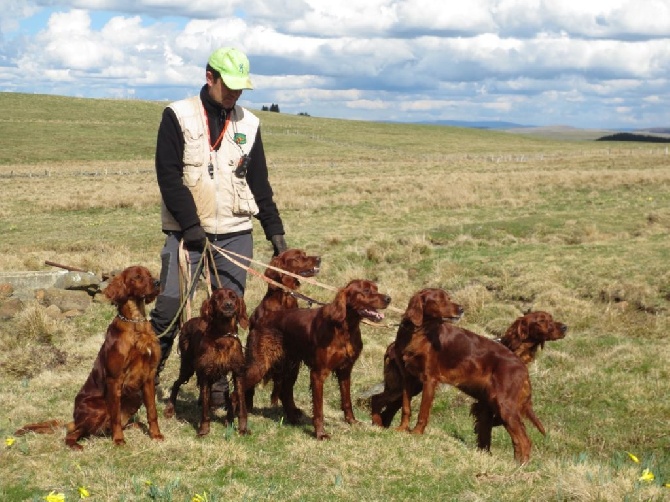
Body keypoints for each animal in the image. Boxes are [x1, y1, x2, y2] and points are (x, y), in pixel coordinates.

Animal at [15, 264, 164, 450]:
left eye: (149, 274)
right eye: (137, 277)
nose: (158, 282)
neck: (136, 324)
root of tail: (74, 420)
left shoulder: (149, 376)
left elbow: (152, 411)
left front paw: (156, 435)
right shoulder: (114, 379)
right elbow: (115, 416)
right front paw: (119, 440)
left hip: (134, 396)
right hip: (98, 408)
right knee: (73, 433)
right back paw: (76, 445)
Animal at [164, 288, 251, 438]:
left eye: (233, 297)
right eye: (217, 298)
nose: (229, 305)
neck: (223, 335)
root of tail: (188, 321)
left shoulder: (238, 373)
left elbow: (241, 404)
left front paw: (242, 428)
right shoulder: (206, 373)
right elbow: (205, 408)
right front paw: (204, 429)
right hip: (188, 366)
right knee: (176, 384)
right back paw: (170, 408)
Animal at [242, 278, 392, 440]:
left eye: (376, 288)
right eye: (366, 291)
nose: (388, 299)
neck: (344, 327)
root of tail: (257, 320)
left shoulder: (345, 370)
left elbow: (347, 401)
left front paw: (352, 421)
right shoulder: (318, 373)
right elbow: (319, 408)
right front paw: (320, 433)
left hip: (291, 366)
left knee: (284, 392)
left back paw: (292, 418)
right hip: (260, 365)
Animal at [245, 249, 322, 410]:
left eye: (305, 253)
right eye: (298, 257)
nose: (319, 258)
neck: (285, 300)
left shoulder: (293, 361)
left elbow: (288, 389)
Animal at [394, 288, 544, 464]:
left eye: (448, 298)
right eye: (440, 300)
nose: (461, 309)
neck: (418, 332)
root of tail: (522, 367)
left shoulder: (429, 379)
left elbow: (423, 412)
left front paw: (417, 433)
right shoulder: (407, 378)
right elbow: (406, 407)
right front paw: (401, 429)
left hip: (503, 404)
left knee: (524, 439)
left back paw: (522, 466)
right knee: (517, 438)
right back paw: (517, 463)